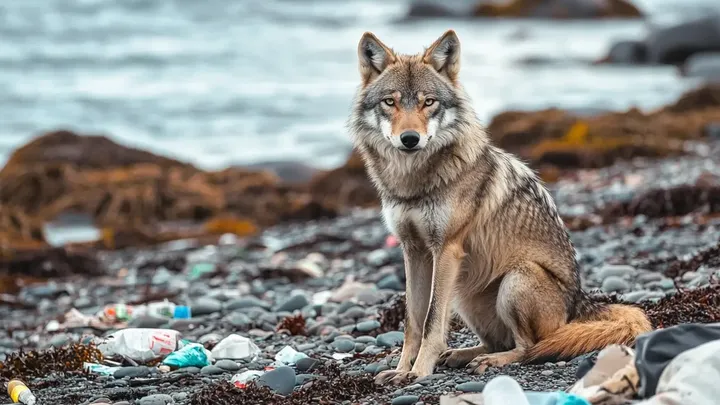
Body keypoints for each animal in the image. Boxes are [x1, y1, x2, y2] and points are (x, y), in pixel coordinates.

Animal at [348, 29, 652, 385]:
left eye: (428, 102)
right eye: (390, 102)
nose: (410, 138)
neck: (412, 182)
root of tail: (580, 303)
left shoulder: (446, 249)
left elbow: (432, 321)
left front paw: (419, 371)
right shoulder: (414, 250)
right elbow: (413, 320)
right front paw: (400, 370)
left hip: (514, 279)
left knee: (527, 347)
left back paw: (490, 361)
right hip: (465, 294)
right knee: (497, 341)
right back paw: (462, 356)